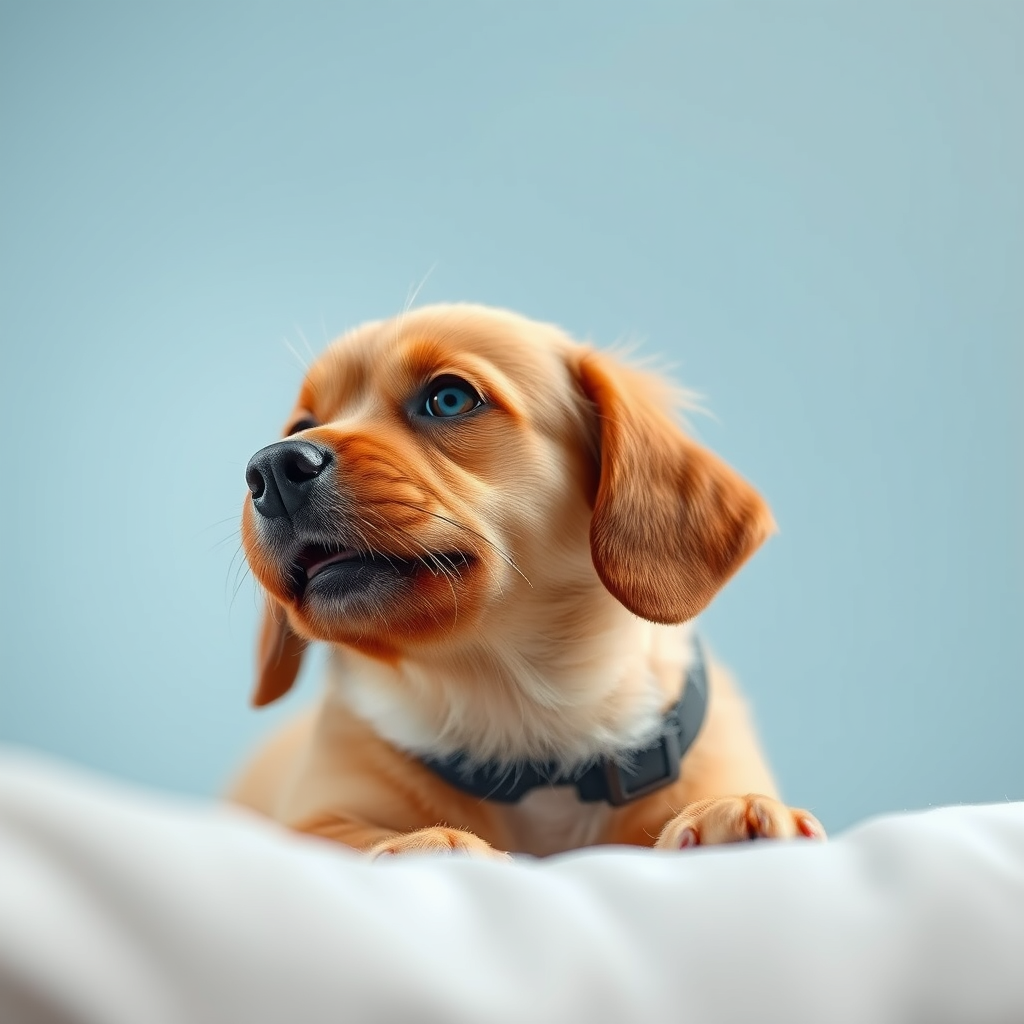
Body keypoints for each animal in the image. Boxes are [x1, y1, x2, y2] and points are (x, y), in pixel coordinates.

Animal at [230, 304, 824, 857]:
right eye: (299, 427)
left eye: (449, 399)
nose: (272, 468)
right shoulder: (314, 816)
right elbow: (342, 837)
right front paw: (427, 841)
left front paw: (733, 809)